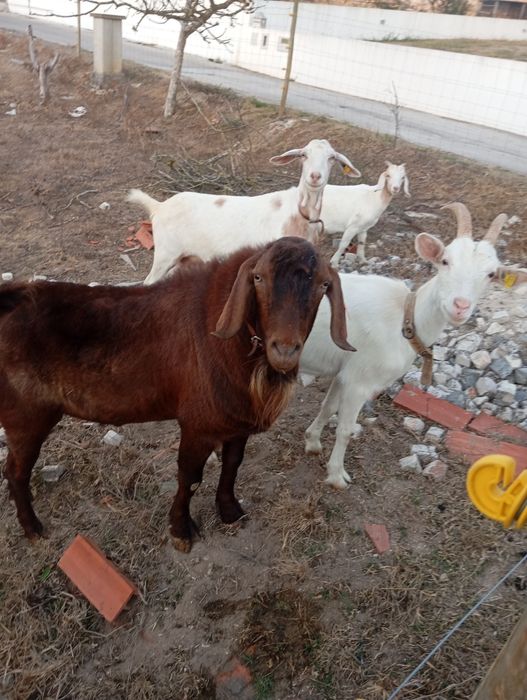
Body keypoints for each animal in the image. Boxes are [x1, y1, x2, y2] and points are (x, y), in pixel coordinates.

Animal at [0, 237, 353, 552]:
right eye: (258, 278)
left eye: (323, 285)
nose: (285, 350)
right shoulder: (198, 424)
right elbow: (190, 477)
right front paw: (181, 531)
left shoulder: (235, 423)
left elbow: (233, 465)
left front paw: (230, 512)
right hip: (26, 418)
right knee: (15, 472)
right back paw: (33, 529)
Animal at [128, 139, 361, 285]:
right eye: (303, 155)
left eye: (331, 158)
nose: (314, 176)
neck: (299, 214)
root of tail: (159, 206)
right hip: (166, 253)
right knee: (148, 282)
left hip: (186, 258)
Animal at [299, 203, 527, 489]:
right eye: (445, 261)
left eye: (490, 274)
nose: (460, 306)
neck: (405, 319)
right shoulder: (361, 380)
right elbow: (345, 429)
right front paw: (337, 476)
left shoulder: (345, 372)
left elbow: (328, 407)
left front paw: (312, 442)